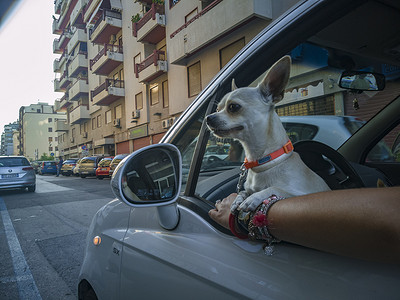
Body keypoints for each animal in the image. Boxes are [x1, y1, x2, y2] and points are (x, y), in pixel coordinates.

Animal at [206, 55, 328, 211]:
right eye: (217, 109)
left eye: (233, 107)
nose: (208, 118)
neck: (263, 161)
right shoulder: (248, 188)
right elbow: (243, 191)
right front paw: (237, 200)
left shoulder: (301, 194)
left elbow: (275, 188)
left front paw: (253, 198)